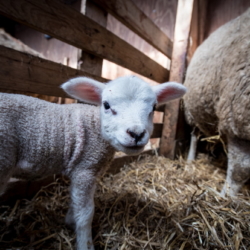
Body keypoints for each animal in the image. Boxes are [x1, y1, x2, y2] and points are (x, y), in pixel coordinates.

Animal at [0, 75, 187, 249]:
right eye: (106, 105)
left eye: (154, 107)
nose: (136, 133)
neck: (96, 126)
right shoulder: (86, 168)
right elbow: (86, 214)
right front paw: (85, 243)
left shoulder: (85, 170)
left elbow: (75, 201)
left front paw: (70, 222)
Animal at [184, 8, 250, 197]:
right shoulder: (238, 116)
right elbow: (241, 168)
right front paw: (226, 195)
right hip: (192, 111)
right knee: (194, 135)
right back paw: (190, 160)